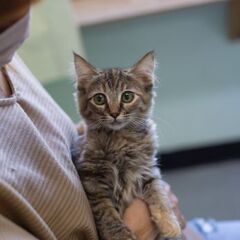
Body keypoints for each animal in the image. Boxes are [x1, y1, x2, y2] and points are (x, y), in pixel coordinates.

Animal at [73, 52, 182, 240]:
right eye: (99, 99)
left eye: (127, 96)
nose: (114, 113)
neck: (121, 142)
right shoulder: (92, 183)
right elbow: (108, 216)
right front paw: (121, 235)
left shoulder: (147, 170)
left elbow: (158, 192)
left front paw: (169, 223)